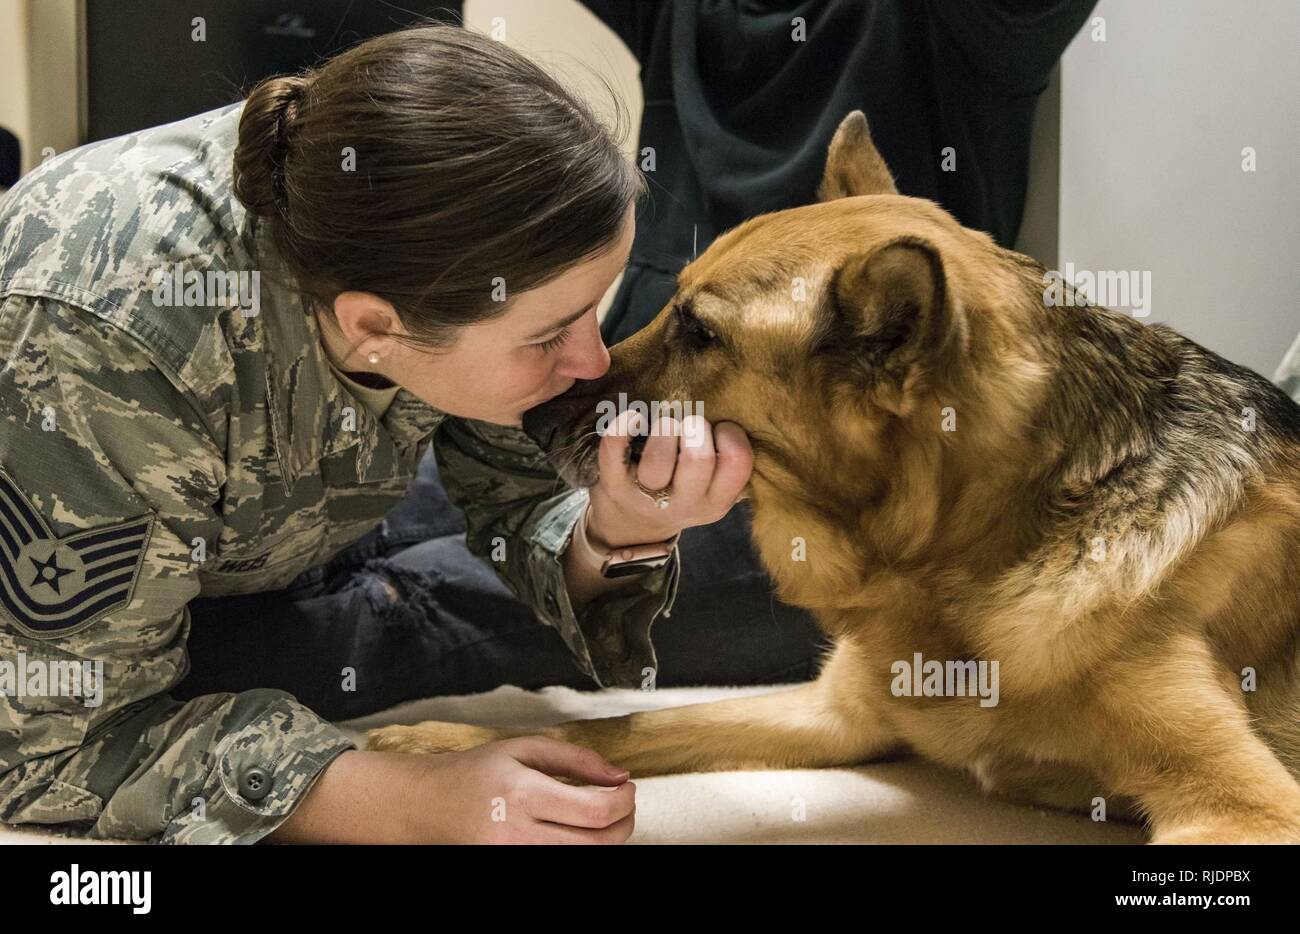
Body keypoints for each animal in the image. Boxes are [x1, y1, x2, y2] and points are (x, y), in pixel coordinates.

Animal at [369, 113, 1300, 842]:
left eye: (700, 333)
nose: (526, 422)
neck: (974, 548)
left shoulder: (1241, 808)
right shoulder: (831, 715)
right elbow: (632, 725)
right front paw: (457, 753)